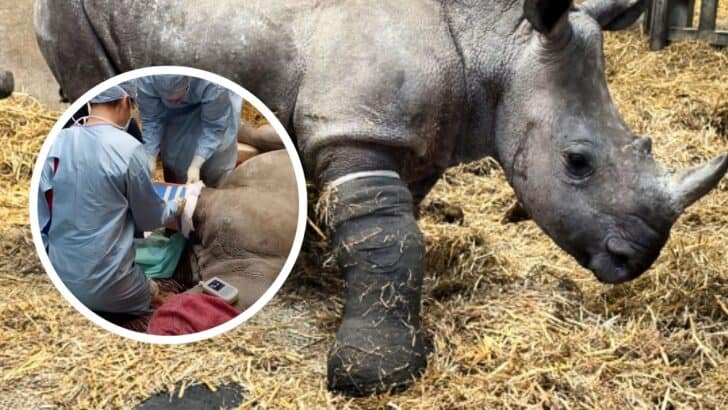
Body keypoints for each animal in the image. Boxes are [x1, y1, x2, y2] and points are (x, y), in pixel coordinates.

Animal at [35, 0, 728, 396]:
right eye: (577, 163)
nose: (634, 260)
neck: (495, 44)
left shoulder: (415, 140)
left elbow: (397, 234)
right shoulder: (356, 126)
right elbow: (388, 235)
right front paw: (374, 371)